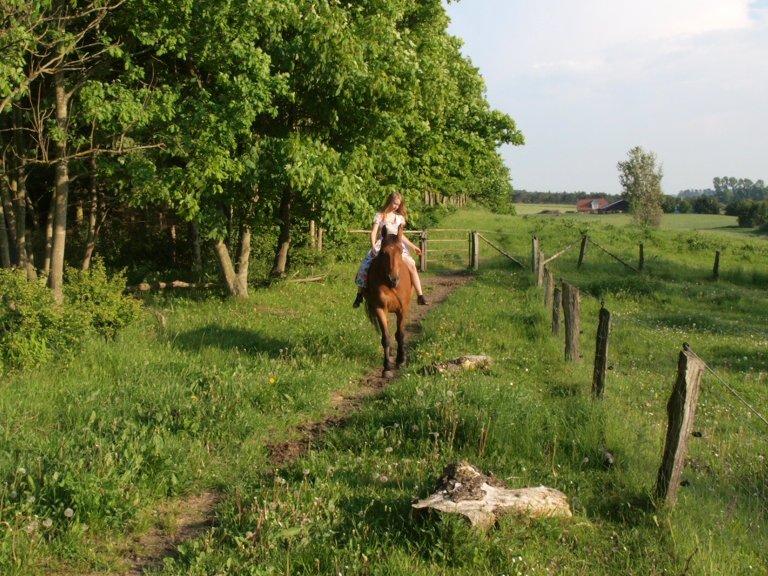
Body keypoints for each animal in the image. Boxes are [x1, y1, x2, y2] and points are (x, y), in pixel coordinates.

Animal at [366, 225, 414, 378]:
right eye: (383, 252)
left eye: (400, 251)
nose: (393, 279)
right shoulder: (380, 309)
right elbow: (386, 337)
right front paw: (386, 367)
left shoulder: (402, 310)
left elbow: (400, 334)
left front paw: (401, 360)